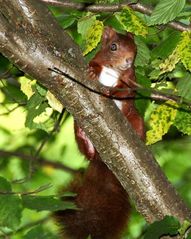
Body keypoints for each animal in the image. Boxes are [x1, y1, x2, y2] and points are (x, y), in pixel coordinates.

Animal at [54, 26, 145, 239]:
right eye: (113, 47)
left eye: (135, 49)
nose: (129, 60)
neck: (114, 70)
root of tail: (102, 160)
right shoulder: (96, 60)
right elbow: (93, 64)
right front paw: (92, 71)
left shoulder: (131, 80)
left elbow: (125, 90)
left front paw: (112, 91)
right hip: (78, 127)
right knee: (86, 150)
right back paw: (86, 141)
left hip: (136, 118)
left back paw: (138, 137)